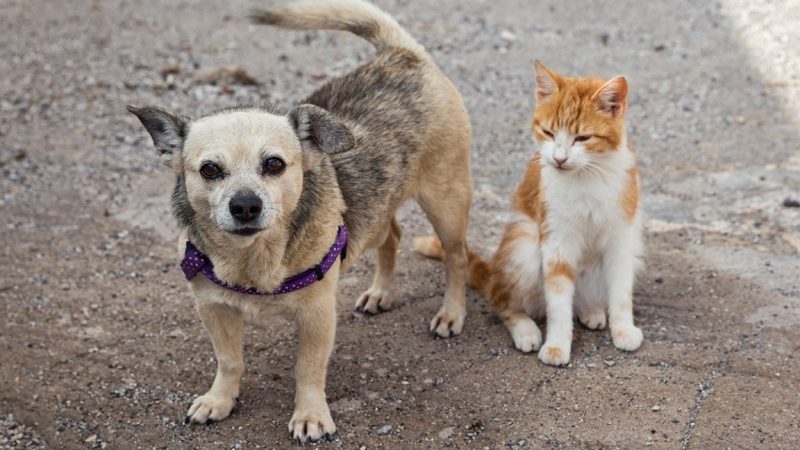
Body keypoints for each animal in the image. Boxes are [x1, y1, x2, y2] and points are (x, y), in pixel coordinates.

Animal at [416, 61, 640, 366]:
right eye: (548, 132)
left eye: (583, 137)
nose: (559, 158)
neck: (588, 177)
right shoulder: (556, 240)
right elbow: (558, 300)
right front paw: (556, 344)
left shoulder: (621, 239)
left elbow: (621, 292)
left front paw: (624, 329)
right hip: (524, 243)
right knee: (500, 298)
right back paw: (525, 328)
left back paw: (589, 310)